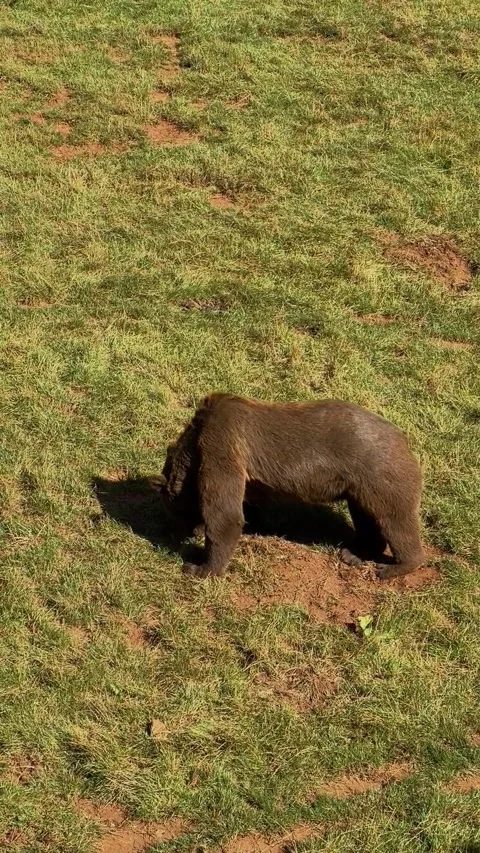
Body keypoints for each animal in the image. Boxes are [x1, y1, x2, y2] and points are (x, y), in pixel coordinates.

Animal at [157, 393, 424, 580]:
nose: (179, 532)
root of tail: (406, 441)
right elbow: (245, 504)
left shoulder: (222, 445)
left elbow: (226, 515)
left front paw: (199, 567)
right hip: (359, 488)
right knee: (368, 519)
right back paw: (354, 553)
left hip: (380, 474)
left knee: (396, 520)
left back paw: (394, 566)